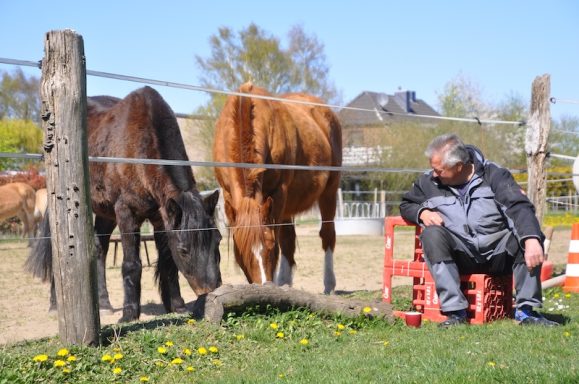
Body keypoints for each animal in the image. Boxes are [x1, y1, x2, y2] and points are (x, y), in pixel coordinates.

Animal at [27, 86, 223, 320]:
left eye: (218, 240)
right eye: (184, 250)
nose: (211, 291)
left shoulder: (160, 218)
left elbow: (167, 262)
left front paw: (177, 305)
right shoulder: (126, 212)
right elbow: (131, 263)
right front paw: (129, 313)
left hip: (106, 213)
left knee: (99, 248)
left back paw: (104, 303)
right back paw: (55, 304)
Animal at [214, 82, 342, 294]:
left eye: (270, 246)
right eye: (241, 253)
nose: (263, 286)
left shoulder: (278, 193)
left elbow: (281, 239)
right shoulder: (229, 194)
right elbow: (285, 240)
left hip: (329, 192)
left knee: (327, 235)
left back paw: (329, 284)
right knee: (290, 240)